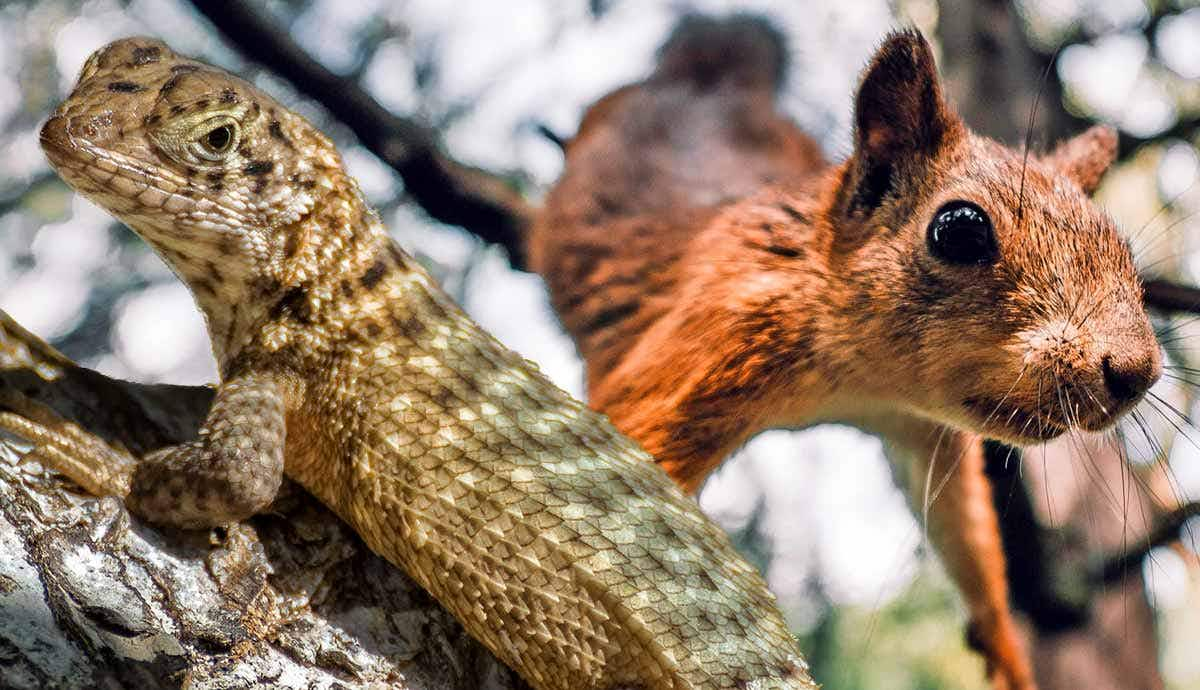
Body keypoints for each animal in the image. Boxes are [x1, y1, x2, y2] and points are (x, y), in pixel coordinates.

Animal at [528, 12, 1161, 690]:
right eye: (959, 230)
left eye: (1123, 247)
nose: (1135, 373)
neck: (860, 380)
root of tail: (707, 77)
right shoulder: (716, 342)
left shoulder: (921, 430)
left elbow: (961, 525)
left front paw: (1005, 646)